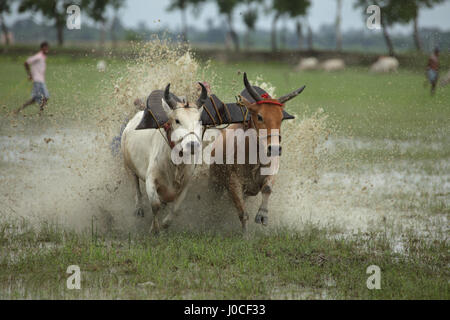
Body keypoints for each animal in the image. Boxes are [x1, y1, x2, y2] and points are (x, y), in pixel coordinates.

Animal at [120, 82, 207, 232]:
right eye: (177, 120)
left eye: (199, 120)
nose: (192, 145)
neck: (176, 164)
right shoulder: (150, 181)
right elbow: (155, 205)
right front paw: (155, 229)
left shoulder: (185, 185)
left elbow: (176, 209)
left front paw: (166, 224)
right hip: (129, 168)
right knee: (136, 188)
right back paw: (138, 208)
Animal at [211, 73, 306, 232]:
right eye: (260, 116)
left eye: (281, 118)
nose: (275, 148)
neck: (254, 158)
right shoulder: (233, 183)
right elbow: (243, 213)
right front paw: (245, 234)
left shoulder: (271, 172)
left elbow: (267, 188)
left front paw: (263, 215)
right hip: (214, 183)